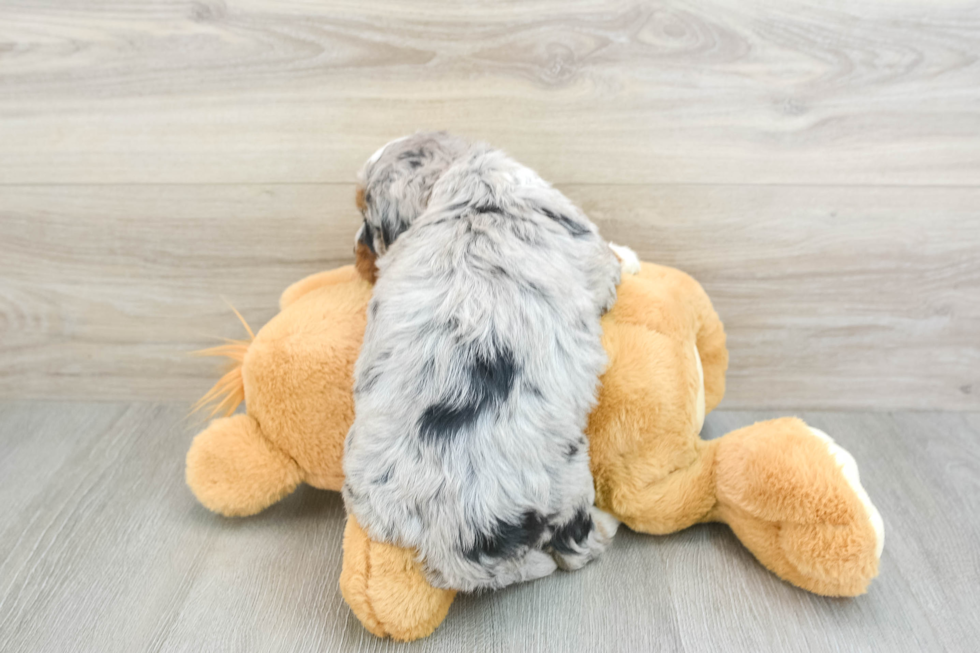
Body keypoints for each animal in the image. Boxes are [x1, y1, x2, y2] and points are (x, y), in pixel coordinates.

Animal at [344, 132, 628, 592]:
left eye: (368, 223)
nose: (354, 255)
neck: (467, 179)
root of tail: (448, 540)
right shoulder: (592, 255)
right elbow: (611, 263)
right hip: (566, 480)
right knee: (574, 547)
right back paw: (605, 527)